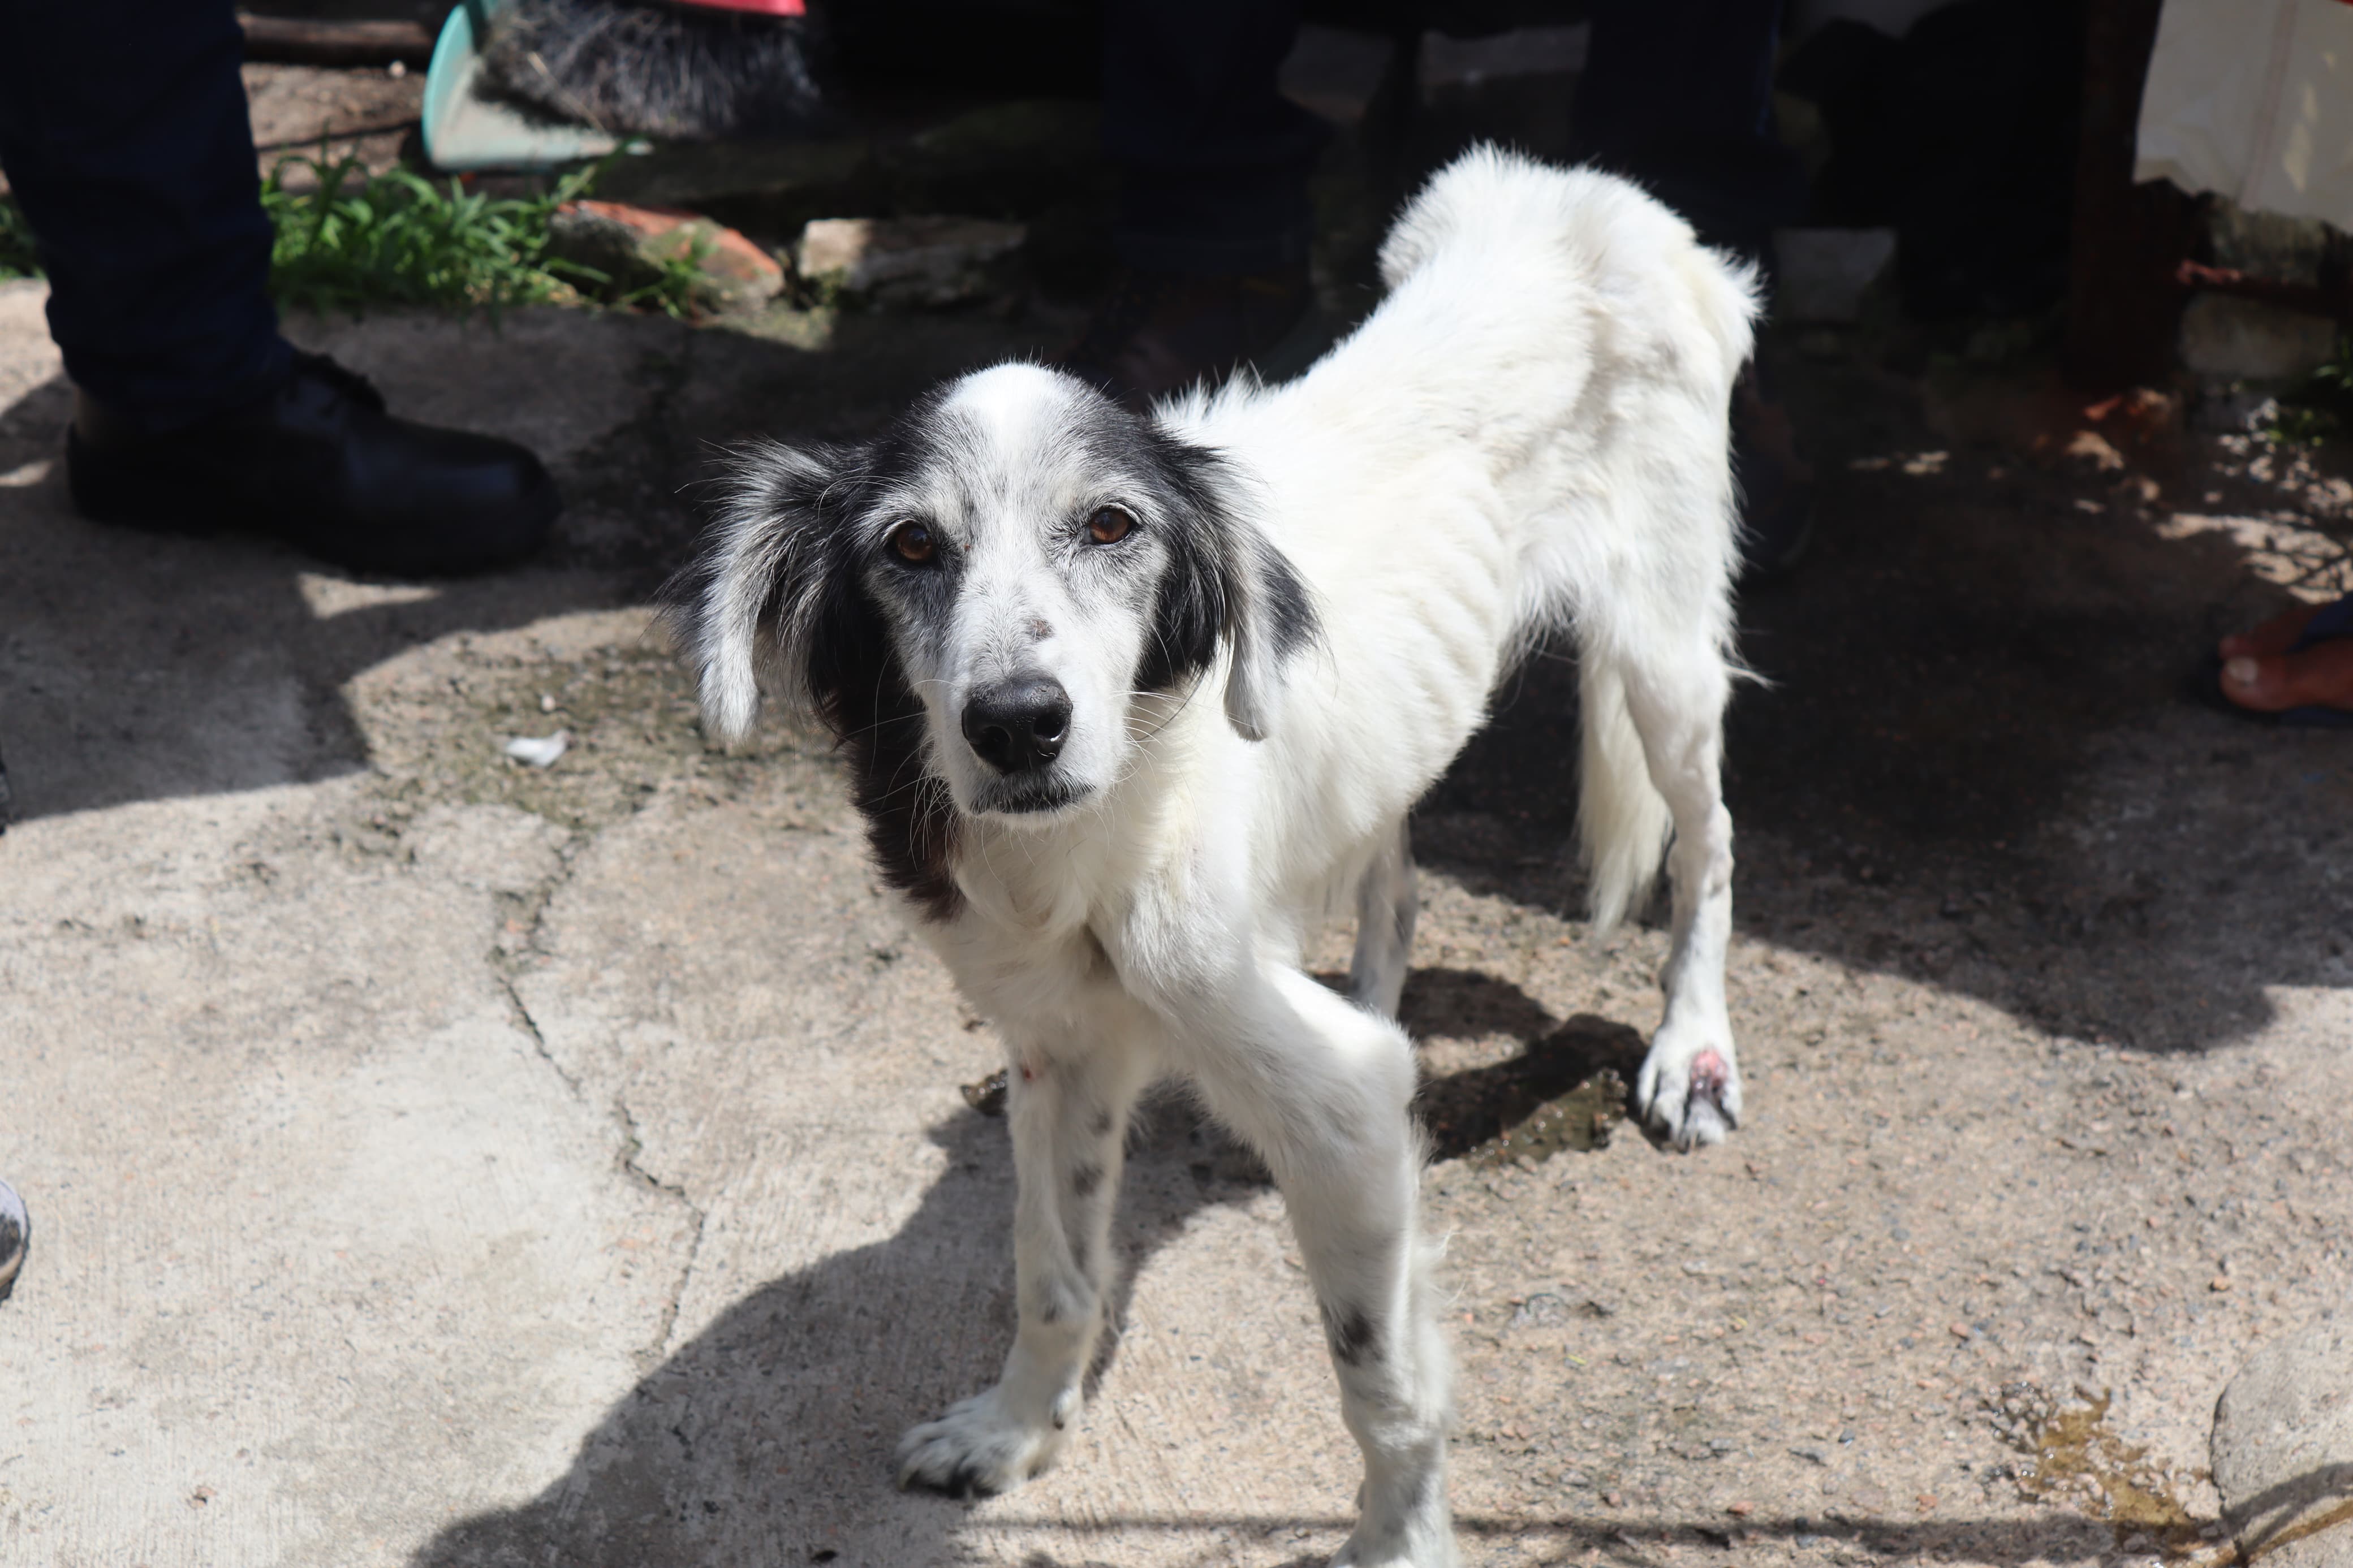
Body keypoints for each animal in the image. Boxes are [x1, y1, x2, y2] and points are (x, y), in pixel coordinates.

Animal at [673, 150, 1760, 1568]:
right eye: (909, 545)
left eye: (1112, 526)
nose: (1017, 724)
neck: (1101, 834)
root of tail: (1579, 189)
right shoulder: (1063, 1051)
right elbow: (1053, 1273)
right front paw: (1011, 1434)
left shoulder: (1332, 1100)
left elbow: (1379, 1376)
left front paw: (1400, 1542)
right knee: (1395, 879)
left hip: (1659, 649)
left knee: (1710, 844)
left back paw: (1692, 1049)